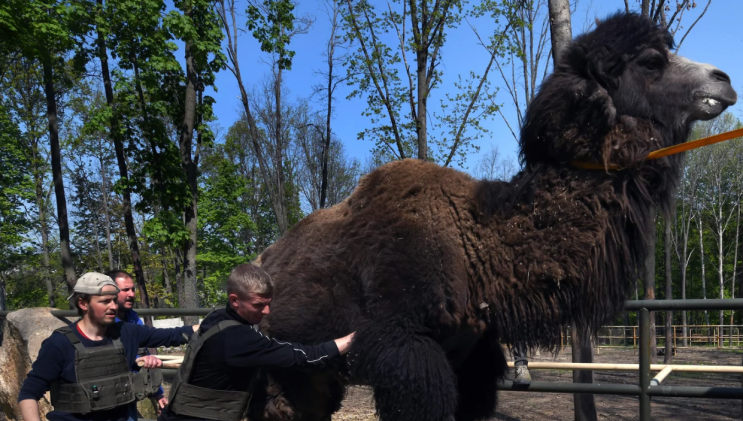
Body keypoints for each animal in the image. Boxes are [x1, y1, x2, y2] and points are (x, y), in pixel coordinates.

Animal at [248, 11, 740, 418]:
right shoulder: (405, 351)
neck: (477, 245)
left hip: (308, 377)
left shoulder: (474, 361)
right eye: (651, 61)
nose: (723, 80)